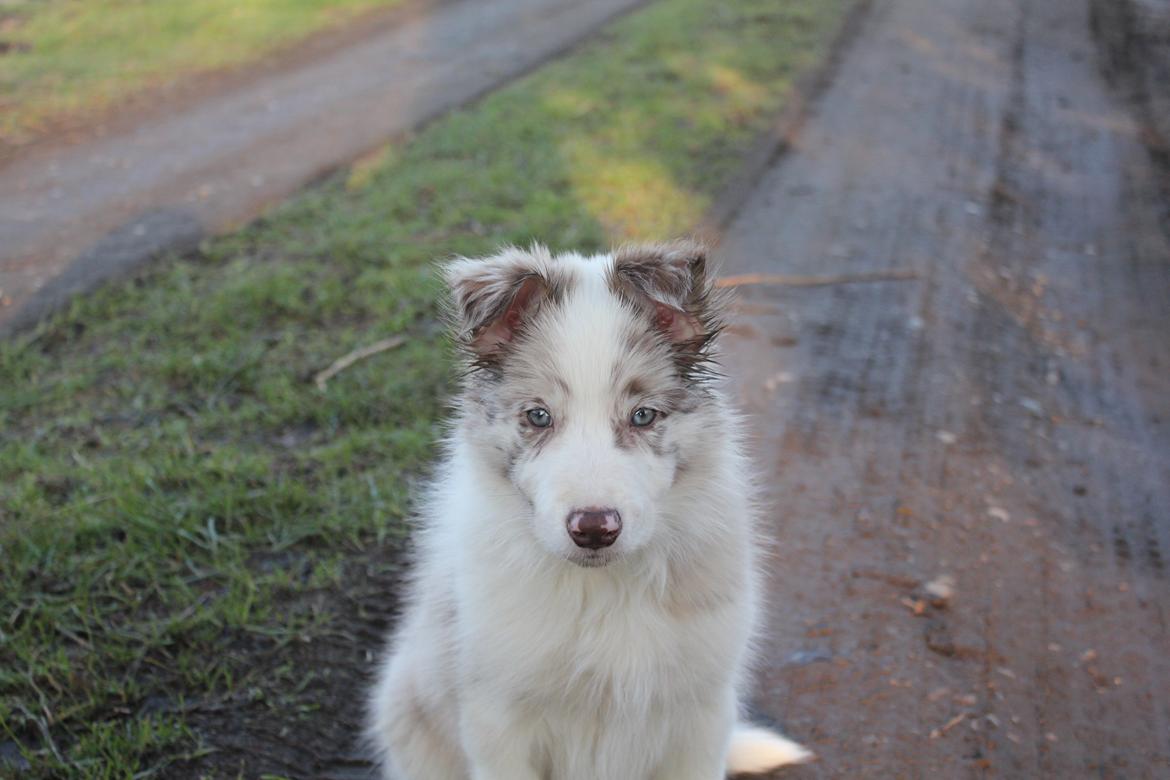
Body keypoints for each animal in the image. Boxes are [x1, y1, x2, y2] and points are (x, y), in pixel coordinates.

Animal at [367, 240, 814, 776]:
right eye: (538, 416)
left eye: (643, 416)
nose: (595, 529)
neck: (603, 592)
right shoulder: (496, 716)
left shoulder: (702, 711)